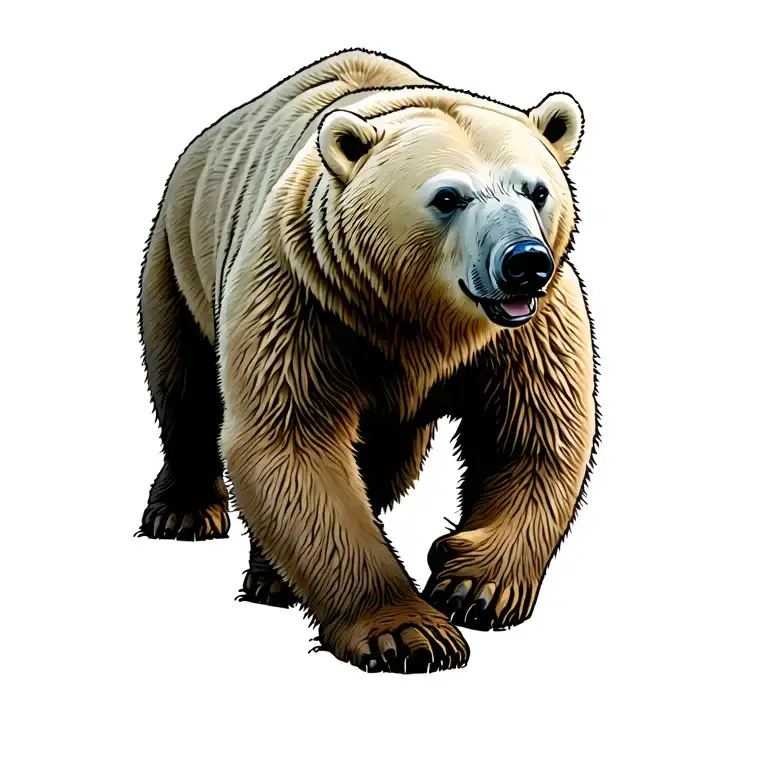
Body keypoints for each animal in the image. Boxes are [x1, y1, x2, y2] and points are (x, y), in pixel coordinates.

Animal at [138, 49, 598, 674]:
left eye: (536, 190)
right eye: (447, 196)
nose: (524, 261)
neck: (418, 314)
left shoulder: (525, 328)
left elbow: (531, 434)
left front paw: (472, 587)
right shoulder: (305, 290)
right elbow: (293, 440)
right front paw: (409, 634)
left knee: (385, 456)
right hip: (181, 251)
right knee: (185, 387)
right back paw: (185, 516)